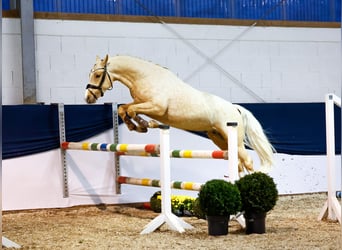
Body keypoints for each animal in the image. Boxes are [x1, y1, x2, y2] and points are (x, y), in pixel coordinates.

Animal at [85, 54, 276, 176]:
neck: (145, 77)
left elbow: (131, 111)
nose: (88, 98)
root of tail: (235, 108)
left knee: (247, 162)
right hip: (219, 139)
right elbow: (124, 109)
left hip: (234, 140)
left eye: (98, 75)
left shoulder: (156, 107)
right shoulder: (140, 102)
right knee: (238, 164)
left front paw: (144, 125)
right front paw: (137, 126)